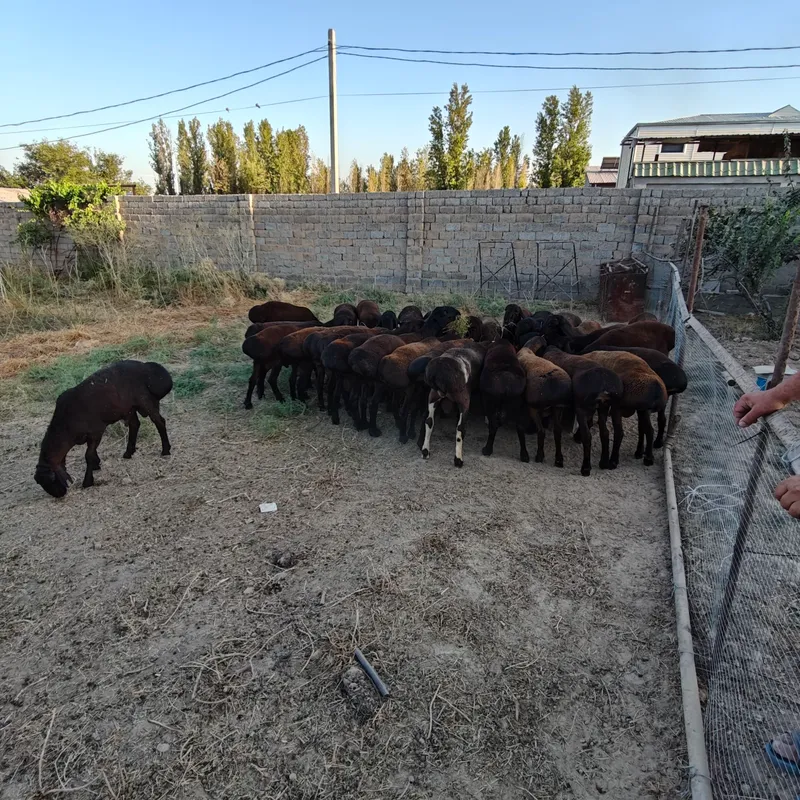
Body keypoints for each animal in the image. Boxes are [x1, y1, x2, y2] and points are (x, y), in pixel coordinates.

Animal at [34, 361, 173, 497]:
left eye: (52, 479)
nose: (59, 495)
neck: (65, 427)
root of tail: (148, 367)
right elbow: (91, 452)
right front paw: (96, 464)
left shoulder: (96, 432)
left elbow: (88, 455)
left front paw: (88, 481)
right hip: (128, 408)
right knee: (135, 424)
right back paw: (128, 452)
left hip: (145, 401)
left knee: (159, 422)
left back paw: (165, 450)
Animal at [538, 341, 624, 476]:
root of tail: (604, 385)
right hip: (613, 406)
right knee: (611, 432)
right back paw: (608, 462)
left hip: (583, 408)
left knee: (588, 436)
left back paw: (586, 468)